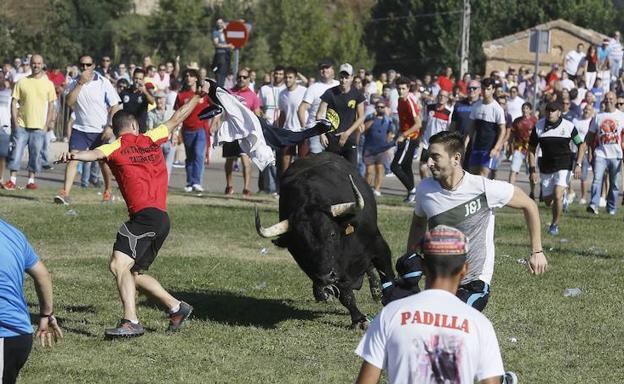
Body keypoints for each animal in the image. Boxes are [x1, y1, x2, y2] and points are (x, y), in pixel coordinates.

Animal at [255, 153, 394, 328]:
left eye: (332, 234)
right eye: (301, 244)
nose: (326, 277)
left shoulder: (379, 247)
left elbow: (388, 276)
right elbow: (346, 296)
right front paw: (359, 319)